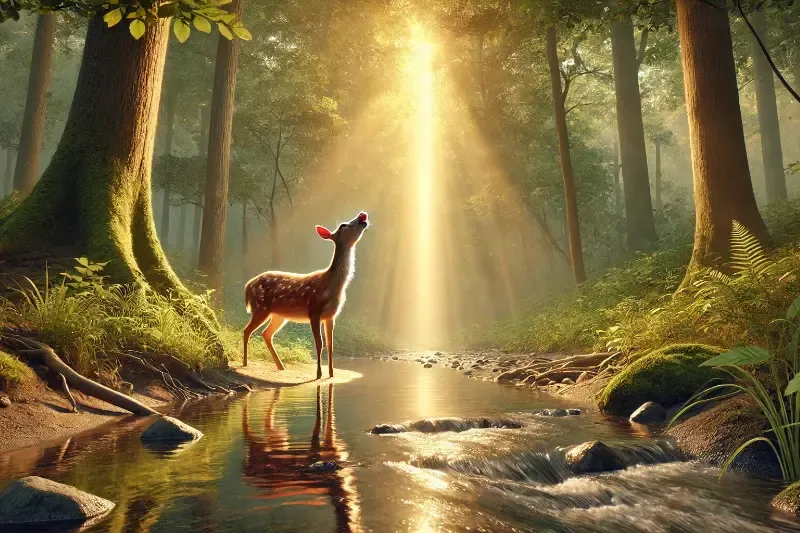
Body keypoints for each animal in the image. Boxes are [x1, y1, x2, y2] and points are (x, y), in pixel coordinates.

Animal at [243, 211, 369, 379]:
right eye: (343, 225)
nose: (362, 215)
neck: (332, 286)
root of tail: (248, 285)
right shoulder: (314, 311)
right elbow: (319, 343)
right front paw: (319, 374)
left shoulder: (331, 315)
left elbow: (330, 345)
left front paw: (331, 374)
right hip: (260, 307)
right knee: (247, 330)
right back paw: (245, 363)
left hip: (279, 315)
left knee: (266, 334)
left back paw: (281, 366)